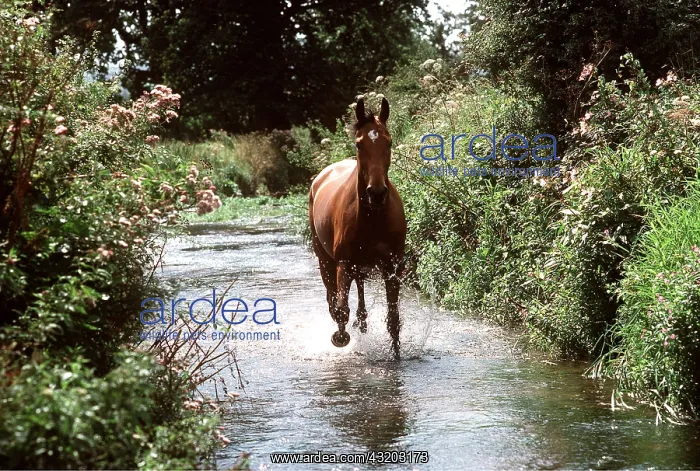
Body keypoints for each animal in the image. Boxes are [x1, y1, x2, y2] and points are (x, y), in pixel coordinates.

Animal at [308, 97, 407, 358]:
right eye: (359, 144)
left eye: (388, 141)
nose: (377, 193)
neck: (373, 217)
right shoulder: (344, 264)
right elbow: (342, 309)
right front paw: (340, 337)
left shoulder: (392, 267)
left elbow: (393, 318)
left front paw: (396, 354)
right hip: (326, 261)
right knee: (333, 298)